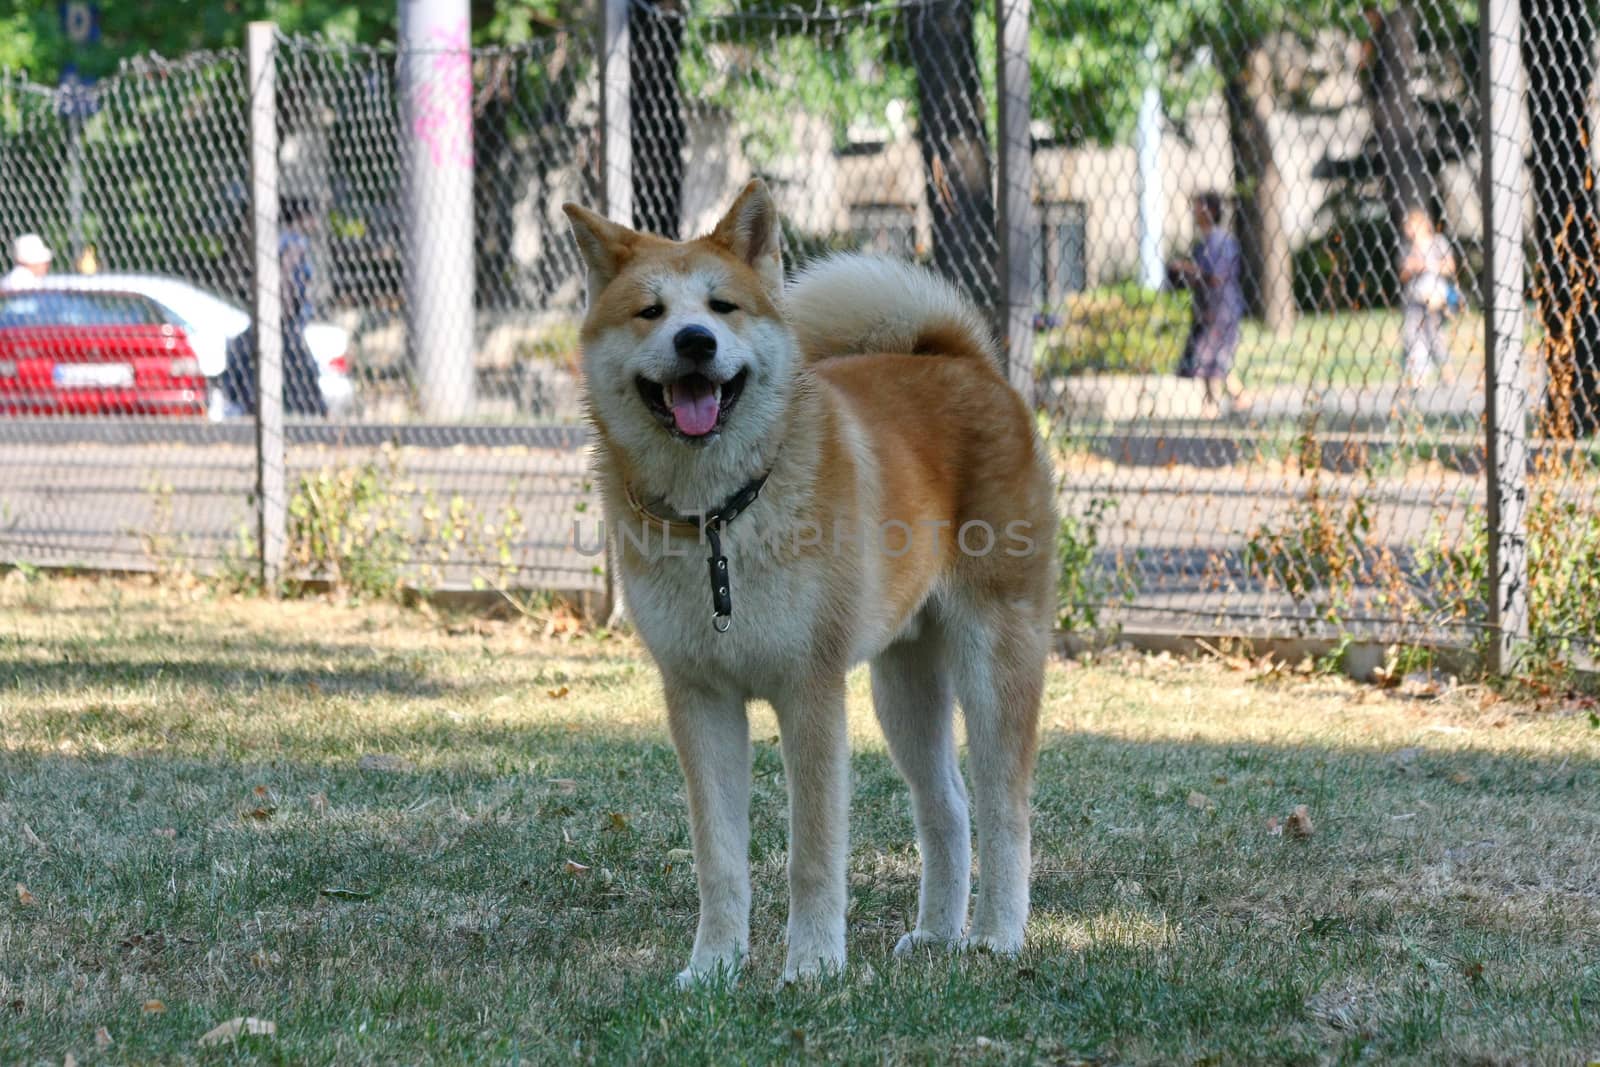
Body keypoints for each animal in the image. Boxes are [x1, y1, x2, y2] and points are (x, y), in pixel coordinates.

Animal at [566, 181, 1062, 985]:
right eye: (650, 312)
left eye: (723, 306)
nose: (695, 341)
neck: (719, 519)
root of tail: (966, 361)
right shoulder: (699, 699)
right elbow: (719, 860)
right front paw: (713, 969)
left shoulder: (811, 692)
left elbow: (815, 853)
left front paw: (812, 967)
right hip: (904, 686)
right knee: (947, 807)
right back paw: (937, 934)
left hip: (993, 662)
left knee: (1004, 809)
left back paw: (995, 937)